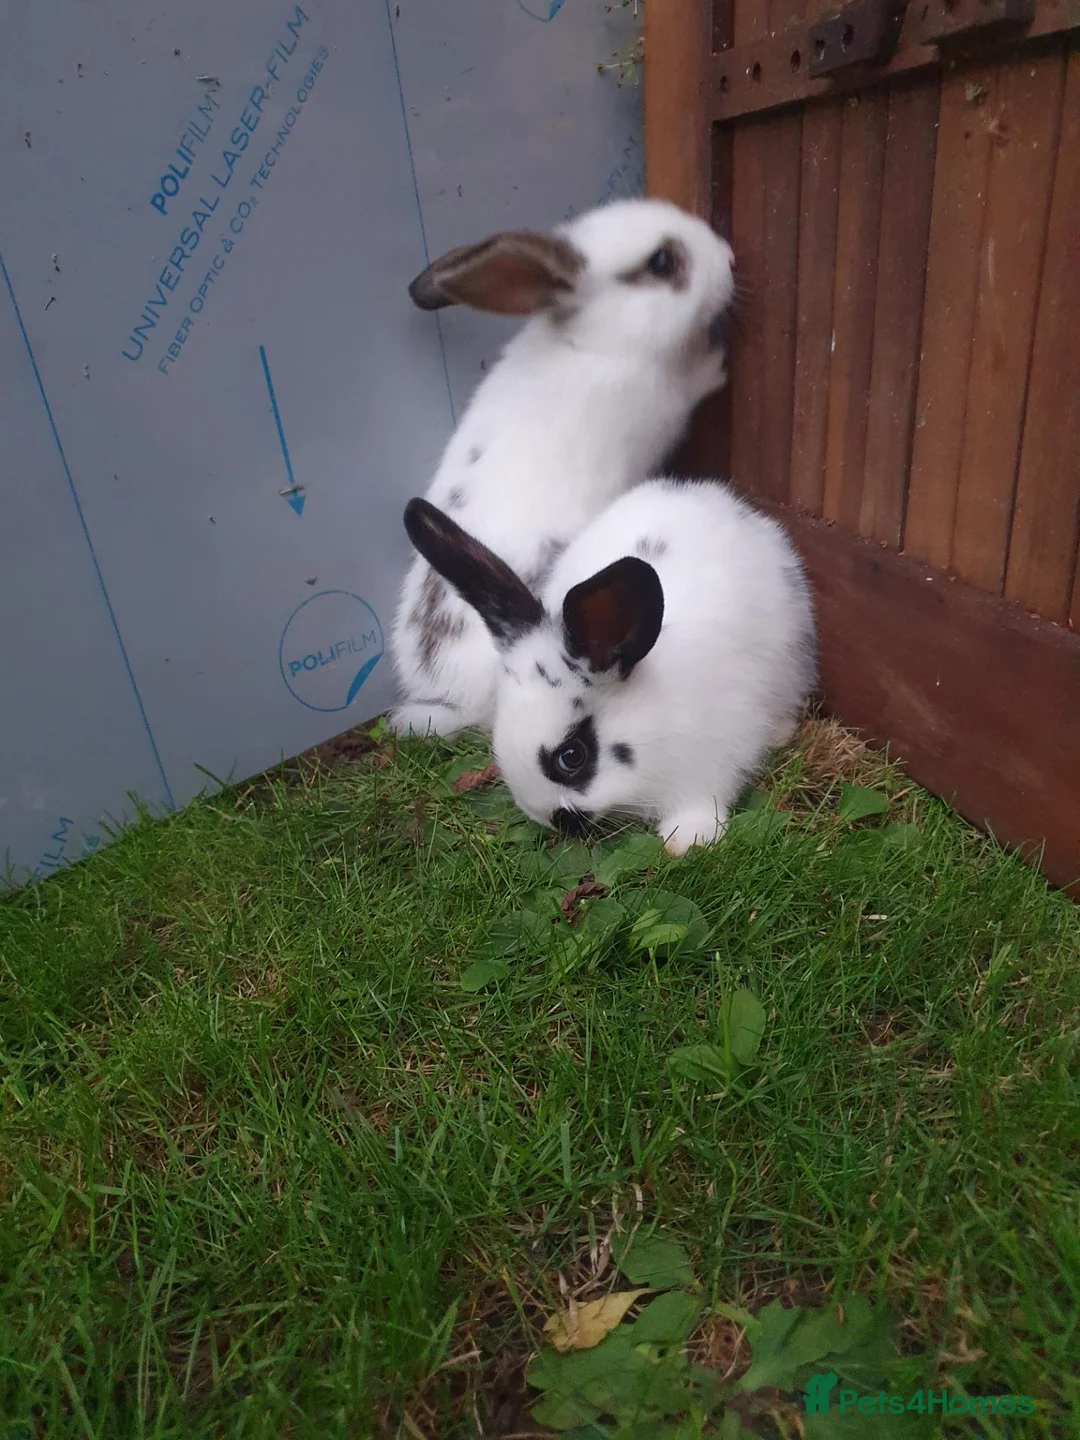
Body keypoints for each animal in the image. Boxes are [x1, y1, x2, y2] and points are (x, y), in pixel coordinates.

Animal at [389, 198, 738, 740]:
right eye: (662, 261)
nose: (730, 259)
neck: (599, 342)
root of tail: (448, 697)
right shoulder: (669, 402)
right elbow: (695, 382)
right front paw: (717, 363)